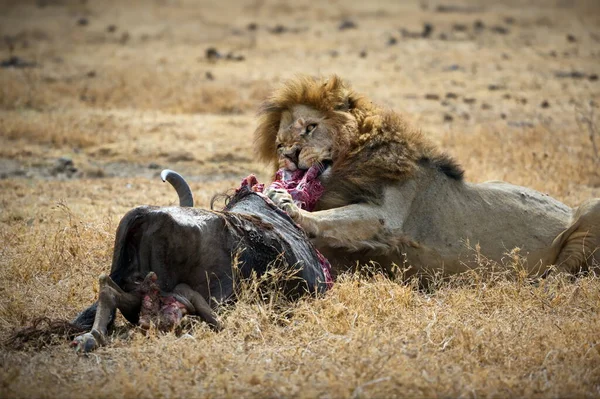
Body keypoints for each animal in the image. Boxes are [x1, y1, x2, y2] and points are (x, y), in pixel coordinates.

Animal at [255, 74, 600, 278]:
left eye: (310, 128)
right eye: (280, 143)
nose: (289, 154)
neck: (346, 169)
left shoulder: (391, 215)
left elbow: (338, 218)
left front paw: (286, 204)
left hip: (590, 212)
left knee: (565, 274)